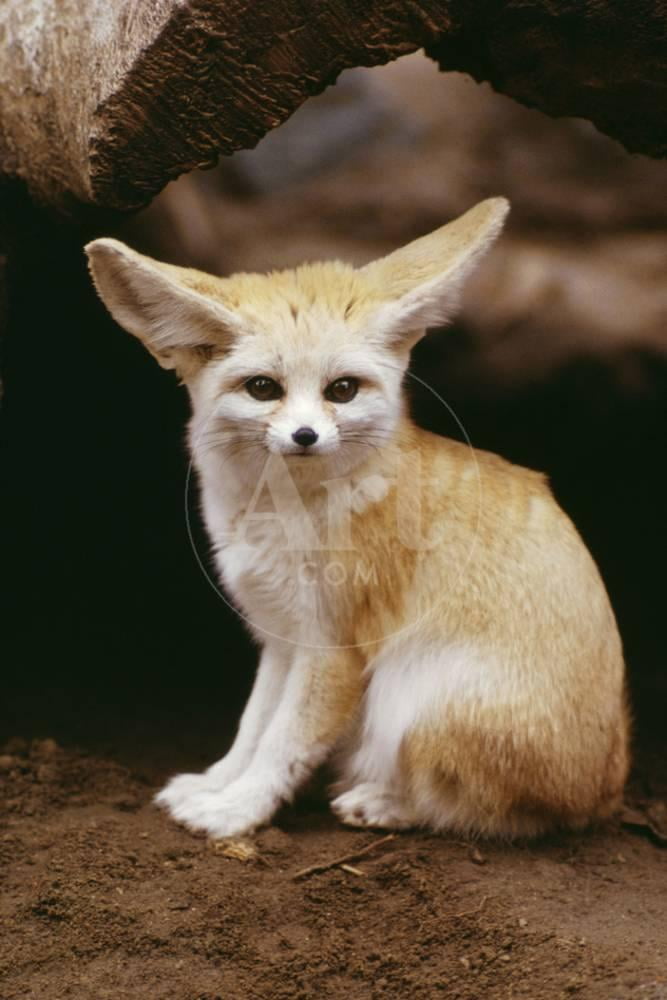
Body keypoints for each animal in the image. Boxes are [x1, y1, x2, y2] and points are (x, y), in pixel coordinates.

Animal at [85, 198, 629, 840]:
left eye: (342, 390)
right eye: (263, 388)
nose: (305, 435)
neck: (276, 514)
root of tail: (606, 791)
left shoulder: (334, 649)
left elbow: (284, 743)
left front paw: (237, 812)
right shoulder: (280, 637)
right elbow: (252, 727)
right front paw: (216, 784)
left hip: (414, 698)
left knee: (489, 812)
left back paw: (382, 803)